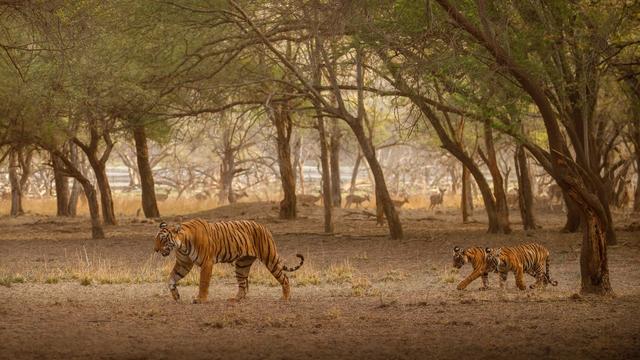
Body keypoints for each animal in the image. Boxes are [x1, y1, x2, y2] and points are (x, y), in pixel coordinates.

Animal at [155, 218, 304, 302]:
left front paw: (200, 299)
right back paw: (235, 299)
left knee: (285, 278)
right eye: (156, 239)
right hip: (242, 265)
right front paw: (176, 296)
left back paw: (285, 298)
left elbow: (203, 282)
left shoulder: (207, 263)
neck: (182, 244)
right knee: (243, 285)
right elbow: (171, 278)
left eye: (163, 239)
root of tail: (264, 227)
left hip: (270, 258)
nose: (155, 250)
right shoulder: (183, 264)